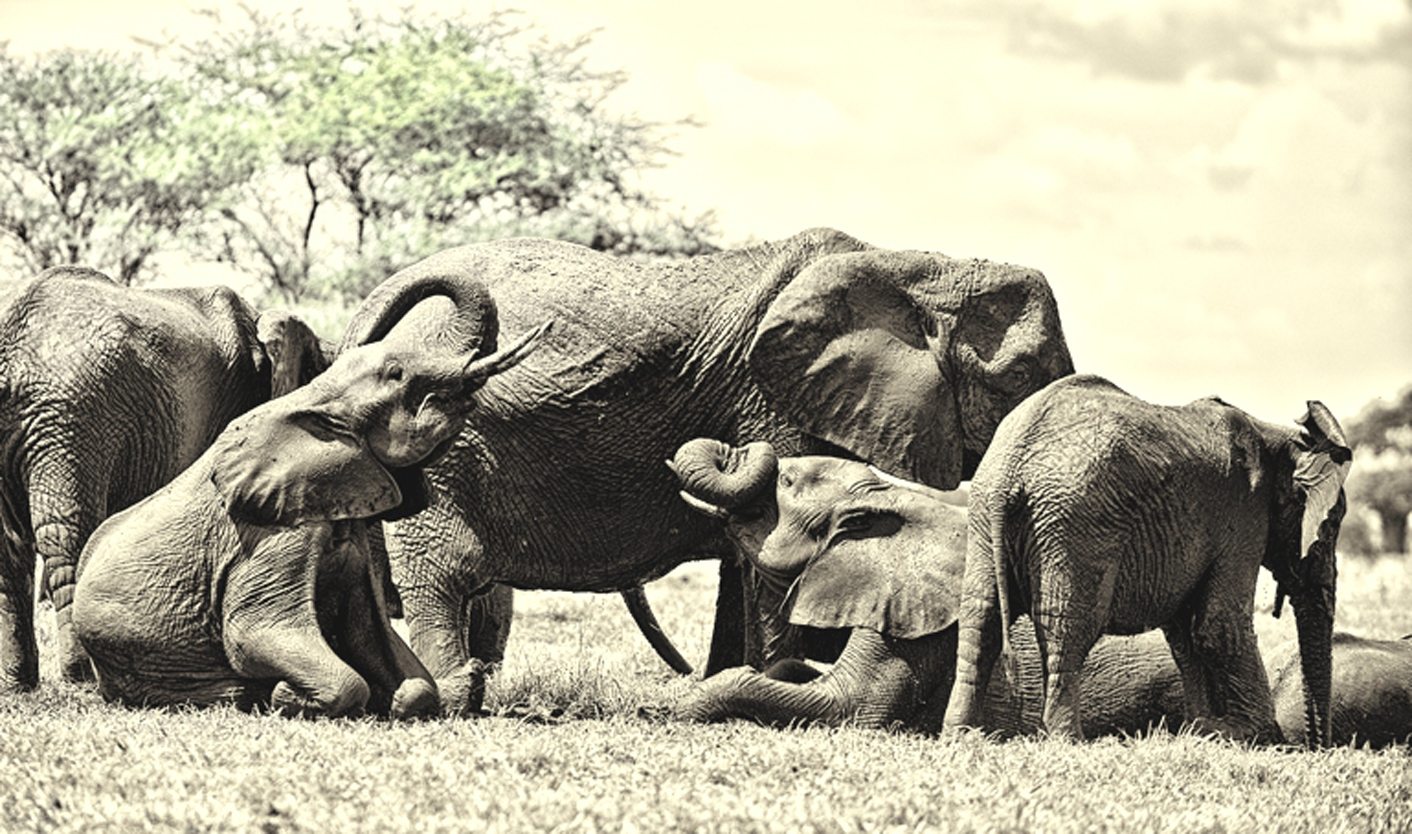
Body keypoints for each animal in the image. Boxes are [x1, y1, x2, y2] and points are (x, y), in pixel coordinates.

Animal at [70, 282, 551, 716]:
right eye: (396, 374)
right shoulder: (270, 533)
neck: (317, 399)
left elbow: (380, 645)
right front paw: (284, 696)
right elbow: (255, 632)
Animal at [341, 228, 1074, 713]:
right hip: (437, 431)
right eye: (1022, 376)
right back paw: (451, 700)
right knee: (446, 567)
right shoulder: (773, 398)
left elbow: (746, 557)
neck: (915, 265)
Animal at [668, 438, 1185, 736]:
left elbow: (849, 708)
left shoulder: (914, 625)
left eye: (788, 481)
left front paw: (677, 711)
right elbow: (789, 669)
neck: (893, 502)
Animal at [944, 374, 1351, 746]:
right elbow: (1219, 624)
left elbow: (1185, 633)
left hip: (986, 518)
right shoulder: (1244, 512)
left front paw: (1203, 729)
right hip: (1075, 524)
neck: (1279, 437)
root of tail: (1010, 471)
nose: (1317, 747)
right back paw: (1068, 740)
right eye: (1331, 524)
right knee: (1068, 625)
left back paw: (960, 735)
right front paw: (1255, 734)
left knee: (982, 619)